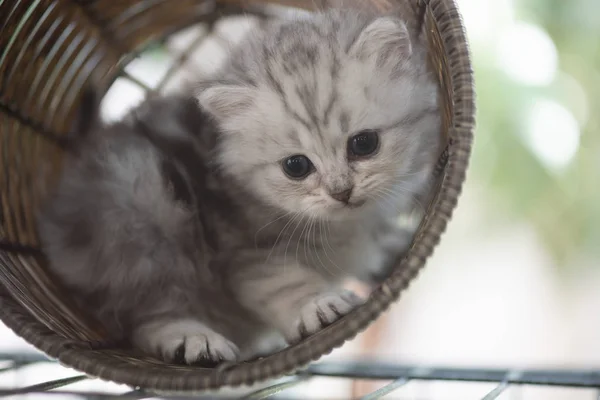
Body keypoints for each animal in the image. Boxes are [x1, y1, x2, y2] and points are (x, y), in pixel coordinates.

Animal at [37, 7, 440, 366]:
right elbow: (285, 283)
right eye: (296, 166)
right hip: (140, 204)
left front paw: (395, 247)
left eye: (364, 144)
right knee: (144, 316)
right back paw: (194, 340)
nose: (341, 192)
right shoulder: (242, 252)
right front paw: (317, 304)